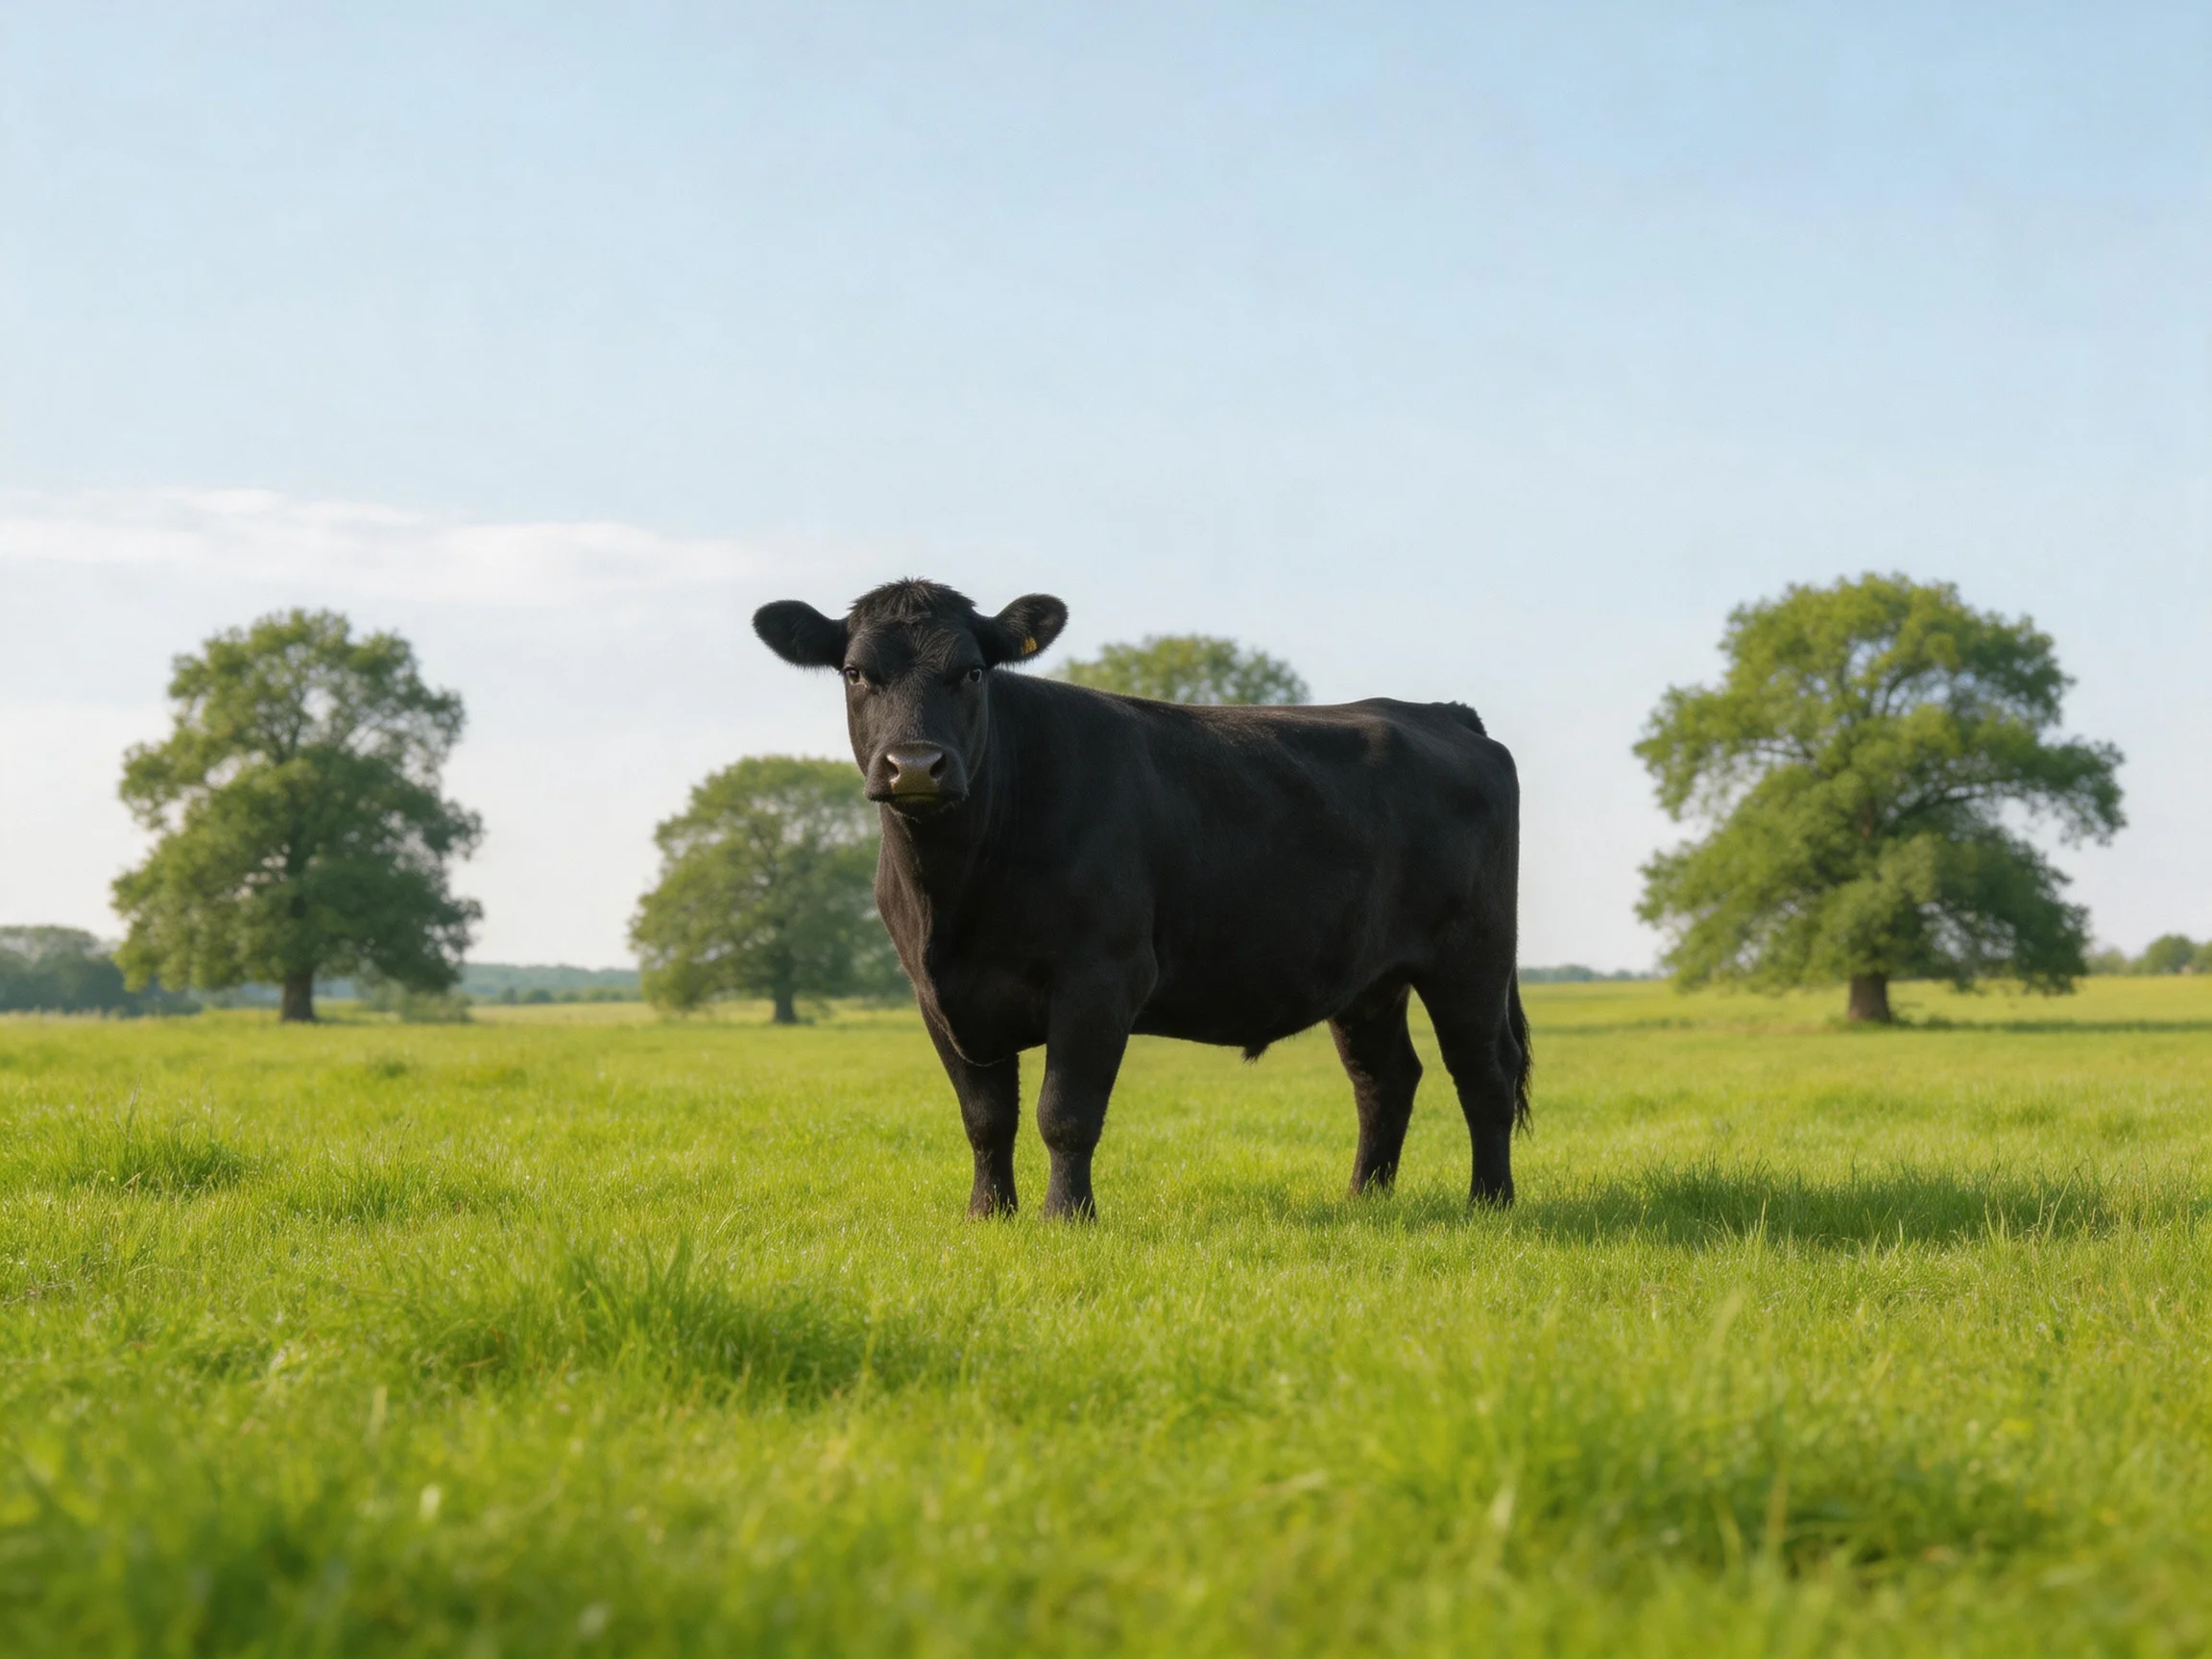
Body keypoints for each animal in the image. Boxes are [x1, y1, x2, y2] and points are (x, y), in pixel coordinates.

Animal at [753, 579, 1530, 1220]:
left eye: (972, 671)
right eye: (856, 672)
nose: (915, 765)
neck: (953, 897)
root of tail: (1438, 711)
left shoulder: (1101, 975)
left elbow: (1065, 1113)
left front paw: (1066, 1218)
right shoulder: (936, 994)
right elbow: (986, 1118)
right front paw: (988, 1215)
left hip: (1472, 958)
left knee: (1482, 1075)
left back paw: (1489, 1203)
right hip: (1368, 980)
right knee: (1385, 1079)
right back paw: (1364, 1199)